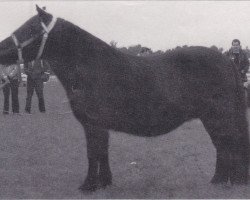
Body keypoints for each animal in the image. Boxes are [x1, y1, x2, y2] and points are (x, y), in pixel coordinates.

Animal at [0, 5, 248, 191]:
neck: (90, 66)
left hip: (218, 117)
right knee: (223, 146)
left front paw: (88, 186)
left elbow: (93, 153)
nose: (1, 49)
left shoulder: (93, 125)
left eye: (30, 28)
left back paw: (226, 181)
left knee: (227, 144)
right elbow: (103, 152)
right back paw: (219, 181)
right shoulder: (100, 126)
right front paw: (104, 182)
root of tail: (227, 61)